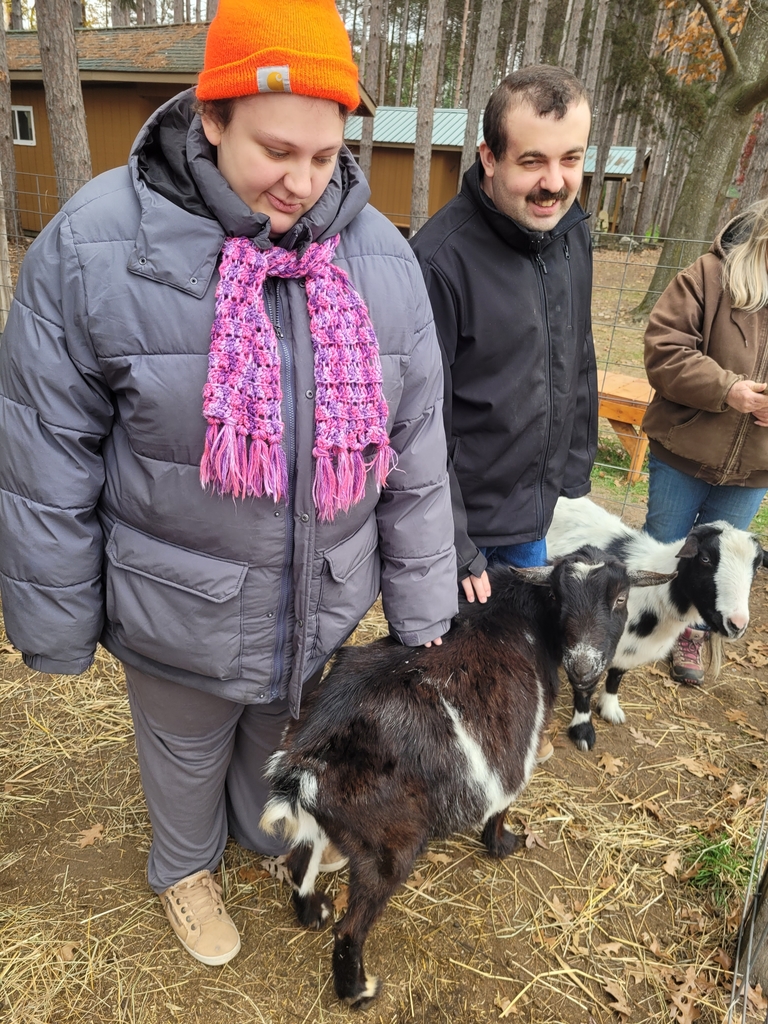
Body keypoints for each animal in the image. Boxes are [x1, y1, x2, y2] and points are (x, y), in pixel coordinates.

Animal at [260, 547, 671, 1008]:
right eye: (560, 598)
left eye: (620, 599)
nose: (583, 667)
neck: (525, 615)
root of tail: (302, 763)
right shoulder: (518, 748)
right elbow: (505, 799)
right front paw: (502, 844)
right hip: (388, 845)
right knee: (351, 927)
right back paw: (358, 990)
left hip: (325, 822)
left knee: (299, 861)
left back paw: (314, 912)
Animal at [547, 496, 768, 751]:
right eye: (705, 559)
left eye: (756, 567)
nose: (736, 625)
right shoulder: (586, 643)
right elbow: (585, 687)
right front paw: (582, 730)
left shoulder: (626, 647)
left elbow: (617, 674)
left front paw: (610, 707)